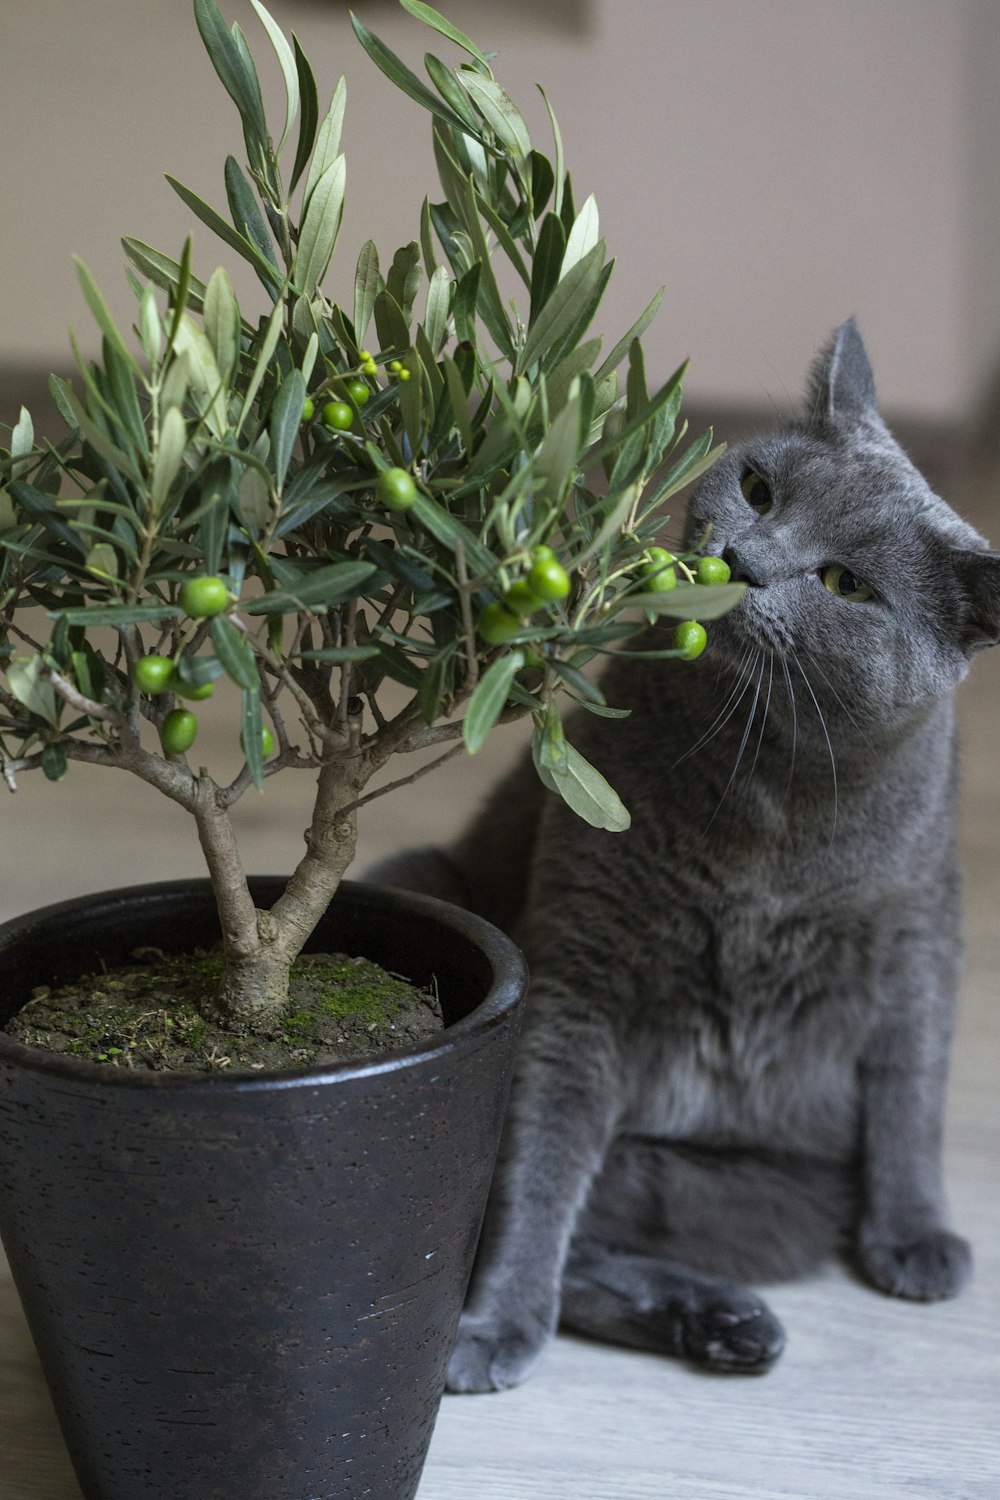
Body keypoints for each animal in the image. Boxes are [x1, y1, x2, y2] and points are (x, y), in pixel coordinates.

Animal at [377, 322, 1000, 1386]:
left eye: (846, 584)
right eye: (758, 488)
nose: (740, 559)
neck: (767, 787)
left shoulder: (920, 933)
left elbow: (914, 1091)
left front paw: (917, 1236)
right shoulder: (579, 967)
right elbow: (536, 1169)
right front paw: (498, 1322)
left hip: (769, 1197)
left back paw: (727, 1323)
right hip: (418, 878)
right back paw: (697, 1323)